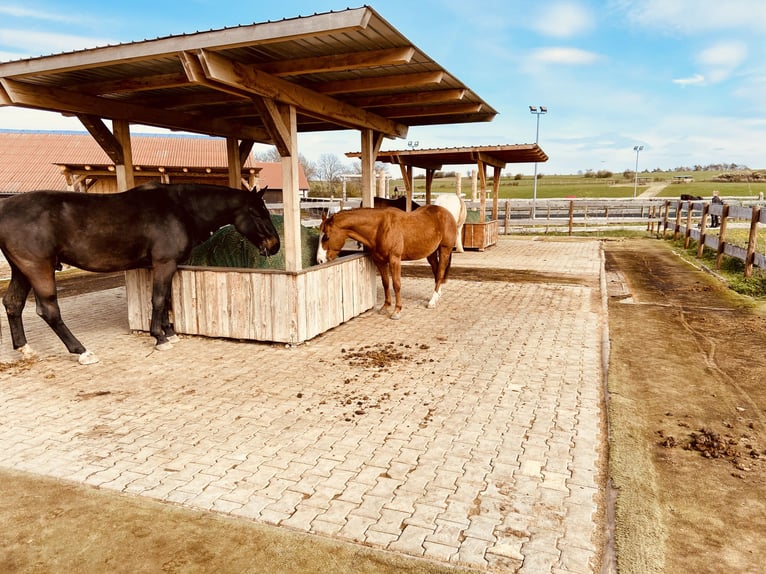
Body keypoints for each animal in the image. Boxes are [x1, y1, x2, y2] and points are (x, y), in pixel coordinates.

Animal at [0, 183, 282, 364]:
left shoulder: (163, 266)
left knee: (13, 304)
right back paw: (81, 351)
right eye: (256, 212)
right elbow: (158, 299)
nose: (274, 245)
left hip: (21, 270)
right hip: (38, 268)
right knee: (49, 310)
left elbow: (165, 299)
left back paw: (25, 349)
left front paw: (169, 332)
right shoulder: (164, 263)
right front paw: (159, 337)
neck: (179, 208)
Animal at [316, 207, 456, 322]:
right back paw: (437, 295)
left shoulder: (395, 260)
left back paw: (432, 301)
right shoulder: (380, 261)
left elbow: (396, 284)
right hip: (431, 253)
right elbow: (386, 283)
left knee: (440, 273)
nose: (320, 260)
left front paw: (397, 310)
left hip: (444, 250)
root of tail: (447, 213)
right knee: (436, 271)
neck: (380, 228)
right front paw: (385, 306)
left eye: (326, 237)